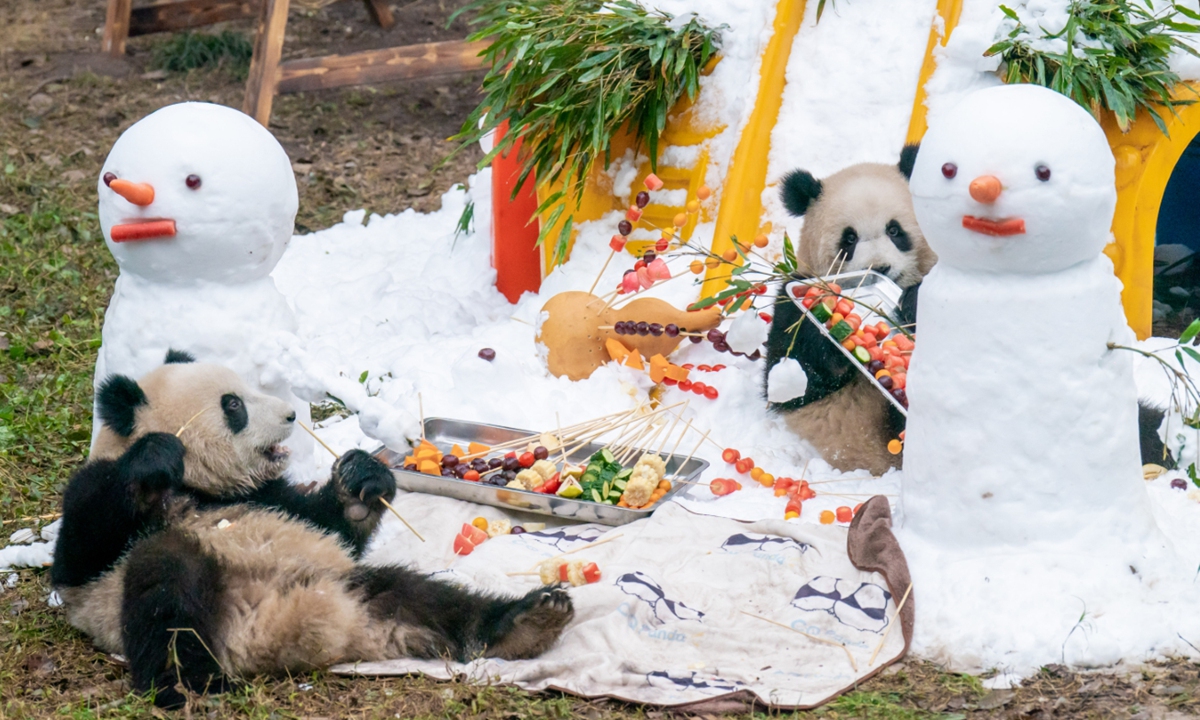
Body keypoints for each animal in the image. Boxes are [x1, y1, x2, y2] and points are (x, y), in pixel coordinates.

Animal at [55, 355, 576, 710]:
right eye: (233, 405)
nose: (290, 415)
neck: (201, 488)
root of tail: (282, 626)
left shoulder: (266, 495)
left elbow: (328, 523)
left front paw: (361, 479)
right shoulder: (96, 513)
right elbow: (81, 551)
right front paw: (153, 456)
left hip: (345, 582)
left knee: (419, 595)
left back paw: (526, 622)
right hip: (188, 604)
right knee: (165, 583)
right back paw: (193, 685)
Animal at [763, 147, 931, 475]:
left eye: (895, 230)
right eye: (849, 238)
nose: (880, 267)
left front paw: (914, 302)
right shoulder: (795, 289)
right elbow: (791, 383)